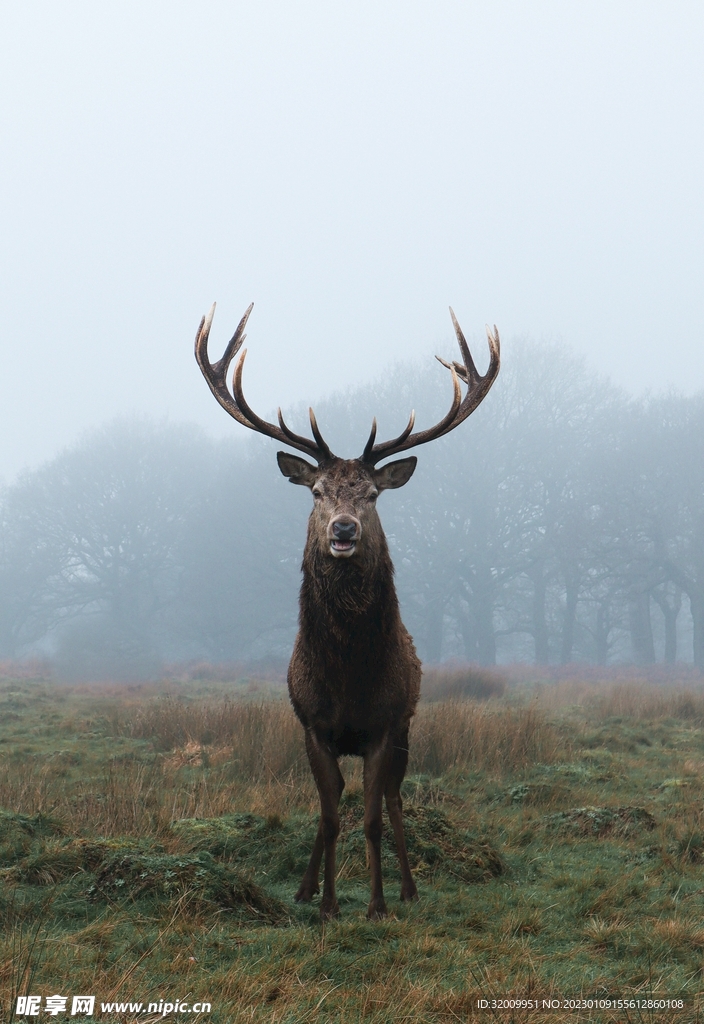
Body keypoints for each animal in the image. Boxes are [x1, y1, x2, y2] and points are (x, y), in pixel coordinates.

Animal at [195, 302, 500, 920]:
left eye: (372, 495)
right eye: (316, 492)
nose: (343, 530)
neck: (348, 677)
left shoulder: (385, 725)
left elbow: (373, 818)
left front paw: (378, 903)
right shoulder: (313, 726)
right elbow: (332, 815)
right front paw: (328, 904)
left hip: (407, 728)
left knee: (395, 799)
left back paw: (407, 888)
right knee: (331, 803)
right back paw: (306, 887)